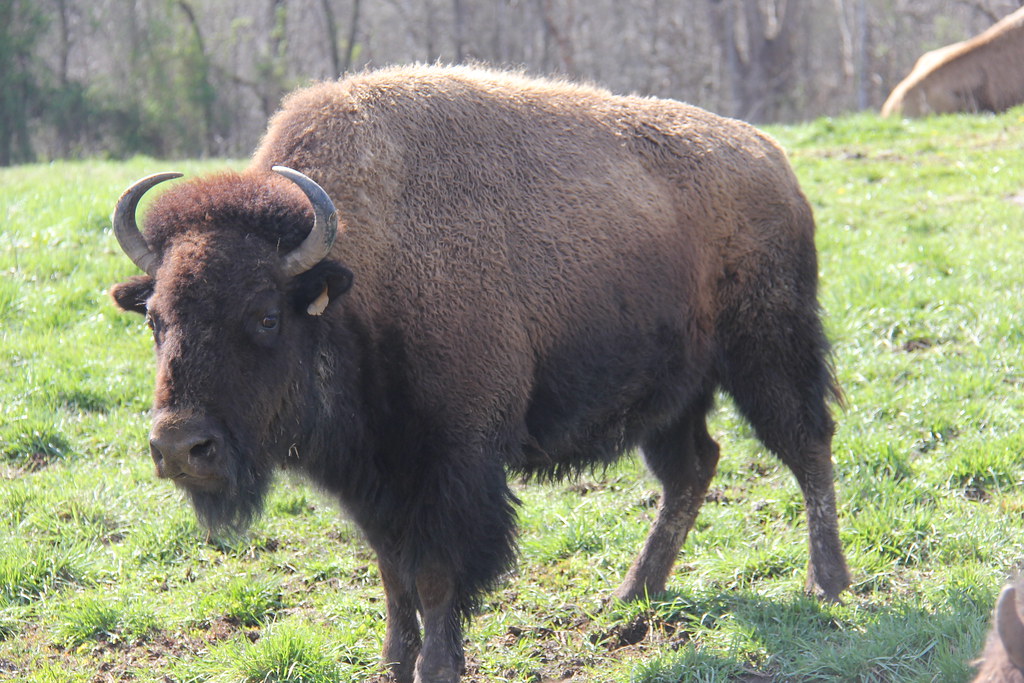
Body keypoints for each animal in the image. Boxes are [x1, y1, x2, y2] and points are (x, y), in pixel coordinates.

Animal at [110, 65, 849, 683]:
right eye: (156, 319)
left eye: (265, 315)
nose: (182, 447)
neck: (358, 278)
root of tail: (773, 161)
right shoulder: (375, 480)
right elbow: (394, 577)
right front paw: (392, 663)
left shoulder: (452, 467)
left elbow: (437, 577)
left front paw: (437, 667)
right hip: (672, 394)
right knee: (692, 468)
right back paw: (632, 594)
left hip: (767, 352)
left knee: (807, 444)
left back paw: (828, 583)